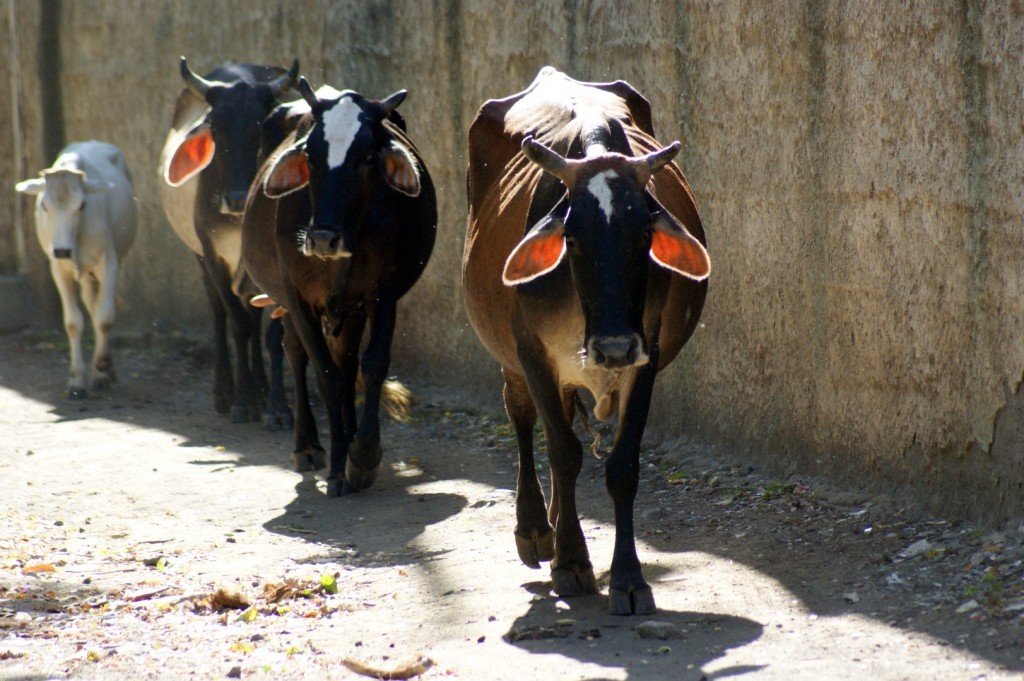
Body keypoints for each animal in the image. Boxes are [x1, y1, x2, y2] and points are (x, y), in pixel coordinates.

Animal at [15, 142, 138, 399]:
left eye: (81, 205)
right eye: (44, 205)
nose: (62, 250)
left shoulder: (109, 262)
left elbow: (105, 317)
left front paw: (100, 366)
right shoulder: (58, 269)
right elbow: (73, 322)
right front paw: (77, 380)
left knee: (98, 308)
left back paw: (105, 370)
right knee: (91, 304)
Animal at [158, 59, 296, 430]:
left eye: (260, 129)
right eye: (216, 130)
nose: (235, 198)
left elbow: (272, 333)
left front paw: (278, 407)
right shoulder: (212, 255)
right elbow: (238, 325)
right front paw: (244, 402)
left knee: (254, 315)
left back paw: (262, 386)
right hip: (201, 260)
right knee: (221, 315)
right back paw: (225, 392)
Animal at [242, 79, 436, 493]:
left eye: (367, 157)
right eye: (311, 156)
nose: (322, 239)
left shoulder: (381, 292)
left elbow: (372, 364)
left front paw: (362, 454)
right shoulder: (297, 297)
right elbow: (324, 375)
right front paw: (336, 465)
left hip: (350, 310)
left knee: (347, 366)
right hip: (295, 305)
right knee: (297, 353)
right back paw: (309, 446)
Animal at [464, 66, 712, 614]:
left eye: (644, 235)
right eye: (572, 239)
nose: (614, 346)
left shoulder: (646, 354)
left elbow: (621, 467)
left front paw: (628, 578)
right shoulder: (532, 352)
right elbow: (563, 452)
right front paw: (571, 562)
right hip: (511, 359)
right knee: (523, 418)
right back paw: (537, 529)